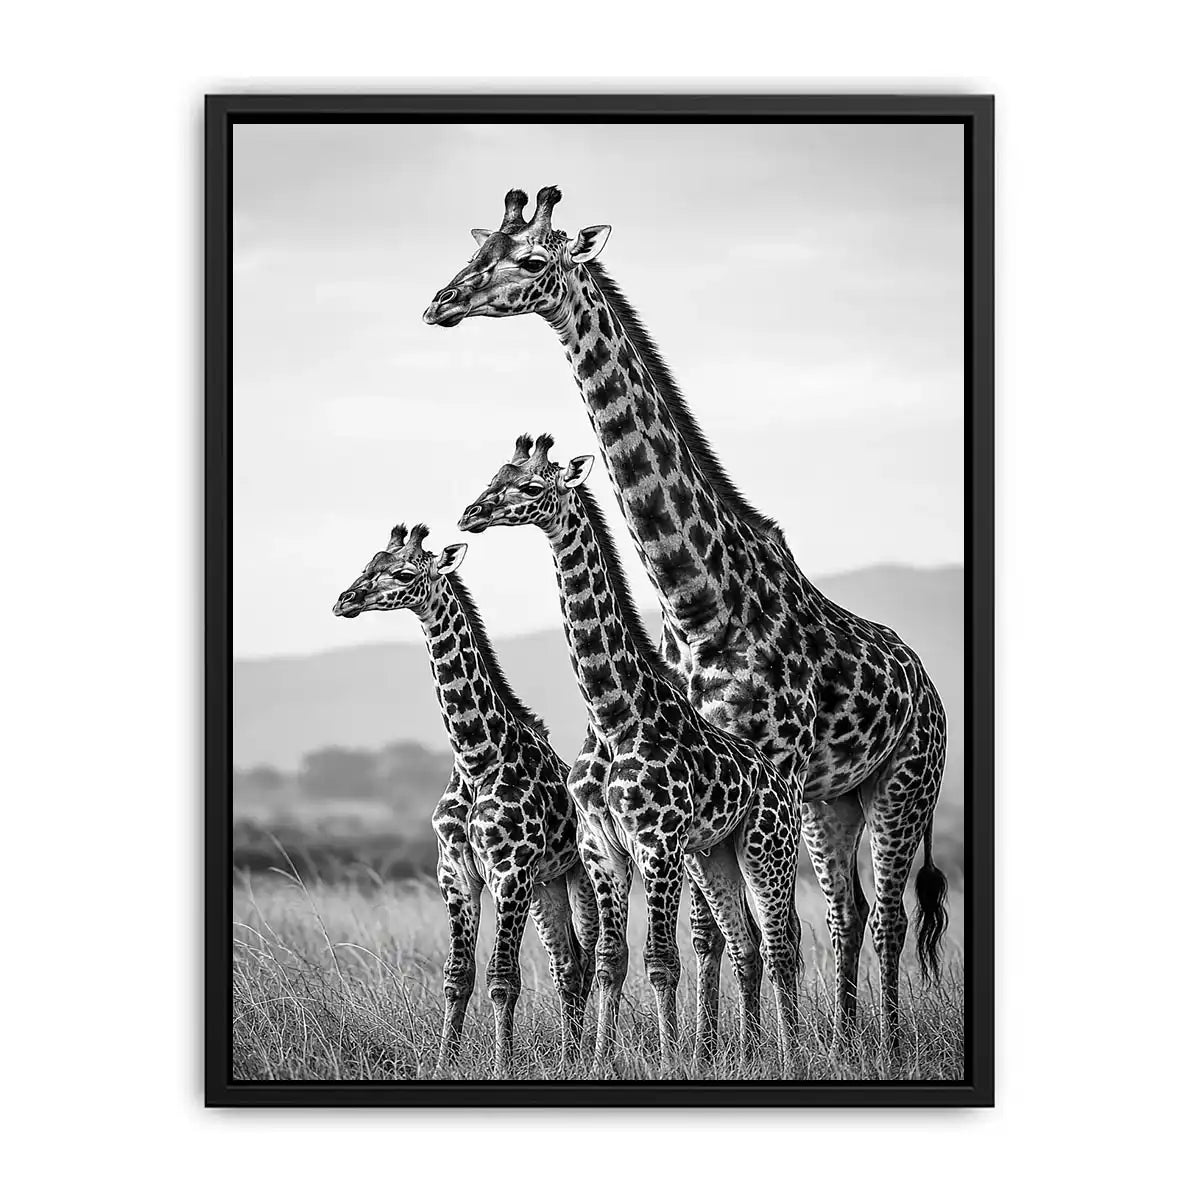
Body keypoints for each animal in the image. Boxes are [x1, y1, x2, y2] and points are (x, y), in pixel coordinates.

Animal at [333, 522, 597, 1076]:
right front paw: (443, 1062)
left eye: (404, 574)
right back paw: (569, 1055)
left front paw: (502, 1065)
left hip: (577, 876)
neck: (477, 758)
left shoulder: (509, 872)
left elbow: (503, 979)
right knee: (567, 964)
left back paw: (578, 1056)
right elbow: (458, 976)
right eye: (368, 563)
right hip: (546, 887)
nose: (345, 600)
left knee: (583, 960)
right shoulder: (454, 872)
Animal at [459, 435, 802, 1077]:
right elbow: (609, 960)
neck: (614, 714)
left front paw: (669, 1060)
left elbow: (661, 960)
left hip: (766, 848)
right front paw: (598, 1059)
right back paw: (749, 1054)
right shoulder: (602, 849)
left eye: (531, 486)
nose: (470, 515)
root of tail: (782, 780)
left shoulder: (657, 843)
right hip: (714, 854)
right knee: (747, 942)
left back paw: (793, 1056)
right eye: (495, 475)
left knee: (781, 943)